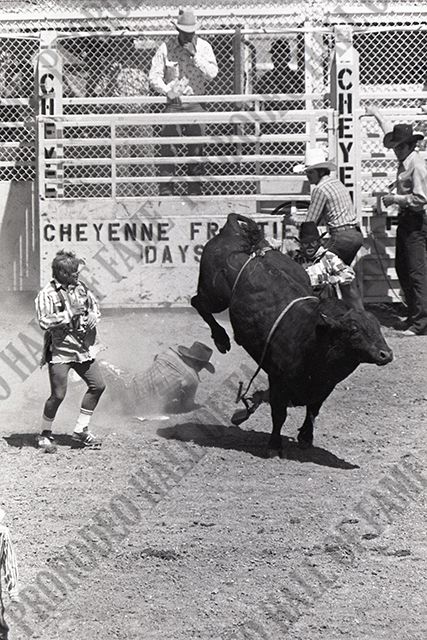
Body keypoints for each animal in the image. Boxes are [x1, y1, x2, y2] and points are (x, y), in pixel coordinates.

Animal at [191, 213, 393, 457]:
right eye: (354, 330)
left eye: (377, 327)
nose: (386, 354)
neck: (314, 336)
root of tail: (235, 232)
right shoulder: (278, 380)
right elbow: (279, 414)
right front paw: (274, 445)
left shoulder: (324, 386)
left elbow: (313, 411)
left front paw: (306, 437)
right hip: (214, 295)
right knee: (197, 302)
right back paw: (221, 339)